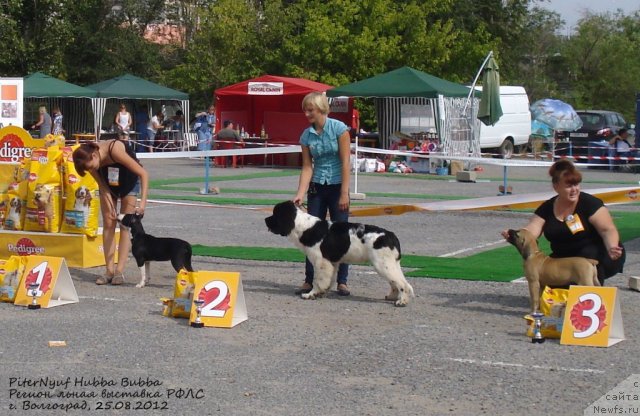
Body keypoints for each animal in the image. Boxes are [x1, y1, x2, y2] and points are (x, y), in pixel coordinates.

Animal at [264, 200, 416, 308]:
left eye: (275, 214)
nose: (265, 219)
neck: (304, 227)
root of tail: (391, 235)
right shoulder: (332, 262)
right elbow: (328, 280)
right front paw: (322, 292)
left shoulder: (321, 261)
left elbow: (318, 280)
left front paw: (311, 294)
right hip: (389, 264)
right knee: (396, 281)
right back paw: (393, 296)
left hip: (382, 264)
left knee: (403, 283)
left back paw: (402, 301)